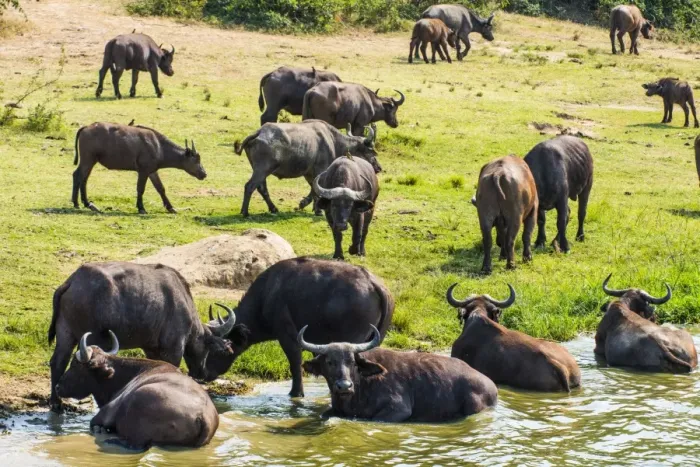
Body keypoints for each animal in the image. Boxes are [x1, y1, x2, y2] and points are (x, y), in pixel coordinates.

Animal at [49, 261, 237, 412]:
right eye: (206, 348)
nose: (203, 373)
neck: (183, 302)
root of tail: (73, 280)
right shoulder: (174, 349)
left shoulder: (151, 349)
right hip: (91, 338)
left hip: (65, 333)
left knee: (58, 362)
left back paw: (56, 403)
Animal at [56, 332, 219, 450]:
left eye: (75, 364)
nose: (58, 387)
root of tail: (203, 416)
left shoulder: (105, 413)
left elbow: (94, 424)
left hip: (140, 399)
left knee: (138, 445)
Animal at [73, 122, 207, 214]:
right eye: (196, 160)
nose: (204, 174)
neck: (159, 146)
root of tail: (86, 127)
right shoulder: (143, 171)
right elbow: (140, 189)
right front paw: (141, 208)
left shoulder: (152, 171)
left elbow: (161, 188)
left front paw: (171, 207)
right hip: (88, 160)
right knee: (79, 176)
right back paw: (81, 203)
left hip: (90, 161)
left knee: (82, 178)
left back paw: (83, 203)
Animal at [207, 257, 394, 398]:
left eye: (220, 349)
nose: (203, 375)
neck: (267, 294)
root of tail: (372, 282)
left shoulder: (287, 338)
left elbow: (295, 366)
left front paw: (296, 394)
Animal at [234, 120, 380, 217]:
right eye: (371, 150)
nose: (378, 168)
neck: (333, 141)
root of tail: (259, 132)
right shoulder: (320, 170)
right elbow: (317, 190)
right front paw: (317, 210)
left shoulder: (310, 173)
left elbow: (314, 189)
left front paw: (307, 204)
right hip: (262, 170)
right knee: (250, 186)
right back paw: (245, 212)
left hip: (261, 171)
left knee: (262, 188)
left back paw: (273, 208)